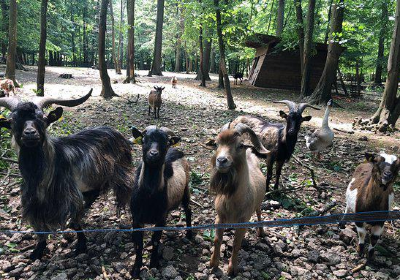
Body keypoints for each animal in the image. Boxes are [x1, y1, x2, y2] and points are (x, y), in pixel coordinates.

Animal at [0, 90, 134, 260]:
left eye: (42, 119)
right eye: (13, 121)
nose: (30, 133)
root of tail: (116, 133)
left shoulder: (70, 195)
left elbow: (76, 221)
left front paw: (81, 246)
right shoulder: (33, 203)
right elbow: (39, 229)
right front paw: (37, 251)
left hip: (121, 171)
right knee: (93, 193)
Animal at [128, 125, 191, 278]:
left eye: (166, 142)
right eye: (144, 140)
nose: (153, 154)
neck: (149, 196)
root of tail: (177, 150)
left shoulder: (161, 218)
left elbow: (156, 241)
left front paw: (153, 264)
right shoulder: (136, 219)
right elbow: (139, 244)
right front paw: (136, 268)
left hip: (186, 188)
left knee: (188, 210)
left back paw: (189, 234)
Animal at [208, 122, 270, 276]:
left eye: (240, 145)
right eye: (216, 144)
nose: (221, 160)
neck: (233, 201)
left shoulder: (243, 221)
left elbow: (236, 244)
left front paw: (232, 269)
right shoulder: (220, 217)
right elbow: (217, 240)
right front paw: (213, 263)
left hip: (259, 203)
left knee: (259, 213)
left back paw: (261, 232)